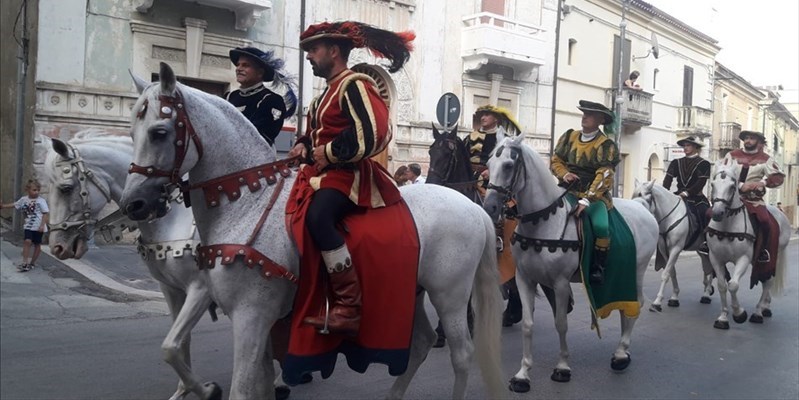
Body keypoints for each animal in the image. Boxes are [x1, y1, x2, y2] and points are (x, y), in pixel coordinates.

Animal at [43, 130, 222, 398]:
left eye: (66, 188)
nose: (57, 247)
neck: (174, 218)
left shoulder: (200, 290)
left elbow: (170, 347)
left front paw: (207, 391)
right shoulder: (171, 289)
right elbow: (180, 342)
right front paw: (185, 390)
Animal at [119, 63, 506, 400]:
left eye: (159, 132)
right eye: (131, 133)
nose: (134, 204)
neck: (248, 204)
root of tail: (471, 206)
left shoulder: (248, 313)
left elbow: (237, 386)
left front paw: (208, 389)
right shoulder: (252, 317)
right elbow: (235, 373)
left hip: (450, 294)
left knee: (461, 354)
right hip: (412, 291)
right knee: (422, 343)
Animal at [482, 134, 656, 390]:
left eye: (508, 165)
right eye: (488, 164)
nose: (490, 207)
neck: (545, 220)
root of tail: (643, 209)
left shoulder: (561, 283)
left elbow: (561, 323)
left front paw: (562, 368)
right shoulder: (525, 279)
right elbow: (528, 324)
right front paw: (523, 374)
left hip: (637, 270)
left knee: (637, 304)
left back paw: (621, 353)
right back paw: (622, 352)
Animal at [632, 180, 720, 310]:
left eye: (644, 197)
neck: (670, 217)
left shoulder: (676, 249)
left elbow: (665, 274)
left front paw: (657, 302)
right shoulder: (665, 250)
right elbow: (672, 272)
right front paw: (674, 297)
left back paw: (706, 294)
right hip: (700, 250)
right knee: (706, 266)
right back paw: (706, 291)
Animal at [708, 162, 792, 328]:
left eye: (732, 186)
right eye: (713, 184)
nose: (717, 213)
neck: (728, 225)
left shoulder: (743, 259)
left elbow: (733, 285)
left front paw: (739, 314)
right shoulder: (716, 258)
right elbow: (722, 285)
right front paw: (723, 318)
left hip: (774, 256)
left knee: (768, 281)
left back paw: (758, 312)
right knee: (765, 281)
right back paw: (765, 308)